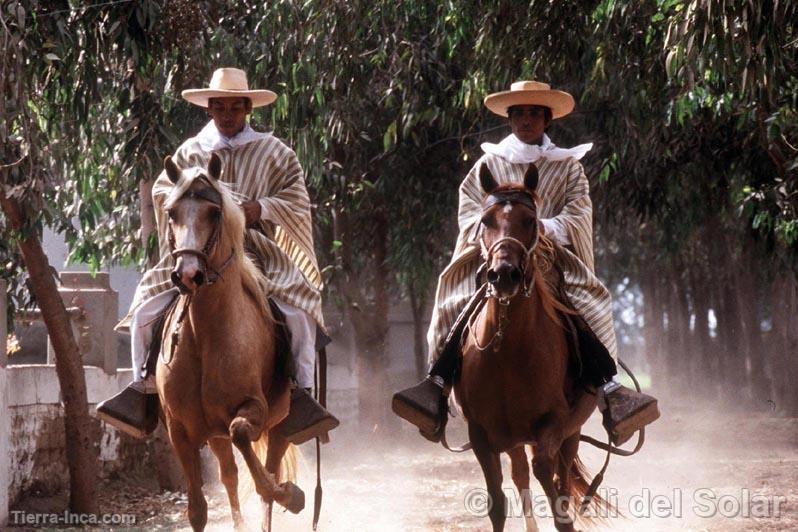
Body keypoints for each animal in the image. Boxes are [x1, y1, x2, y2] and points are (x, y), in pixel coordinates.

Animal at [156, 153, 304, 528]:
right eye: (171, 213)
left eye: (214, 212)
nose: (187, 274)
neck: (205, 339)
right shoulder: (180, 431)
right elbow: (197, 510)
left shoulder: (253, 409)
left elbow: (250, 451)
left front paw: (289, 494)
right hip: (213, 435)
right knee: (230, 476)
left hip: (280, 423)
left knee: (266, 472)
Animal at [456, 164, 612, 528]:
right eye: (486, 220)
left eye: (530, 220)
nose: (504, 274)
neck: (507, 352)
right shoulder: (481, 435)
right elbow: (497, 503)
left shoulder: (553, 425)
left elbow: (551, 481)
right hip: (513, 439)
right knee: (521, 475)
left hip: (569, 433)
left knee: (557, 474)